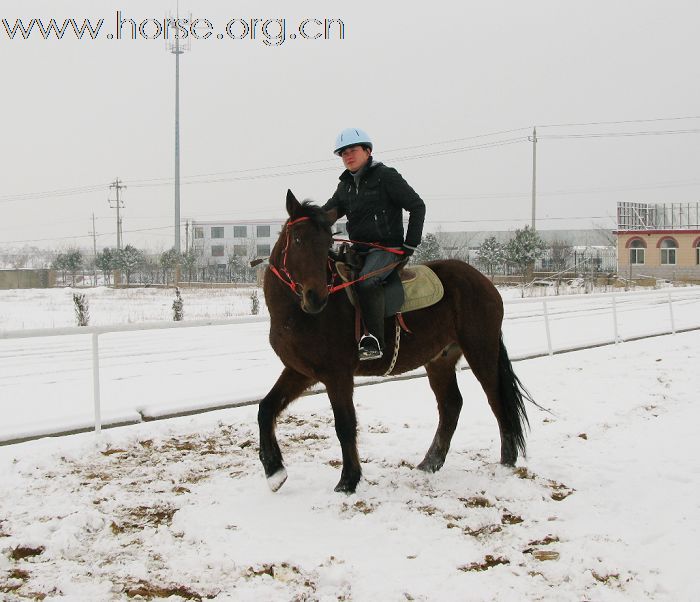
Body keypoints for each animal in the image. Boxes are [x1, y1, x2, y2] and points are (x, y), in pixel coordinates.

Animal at [260, 191, 532, 492]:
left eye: (327, 243)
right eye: (297, 239)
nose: (316, 297)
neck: (296, 314)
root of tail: (483, 282)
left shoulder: (337, 375)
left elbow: (345, 425)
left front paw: (348, 481)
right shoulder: (301, 371)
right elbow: (266, 408)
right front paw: (274, 471)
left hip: (481, 351)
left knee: (496, 398)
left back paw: (506, 461)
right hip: (440, 360)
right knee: (451, 405)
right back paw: (430, 463)